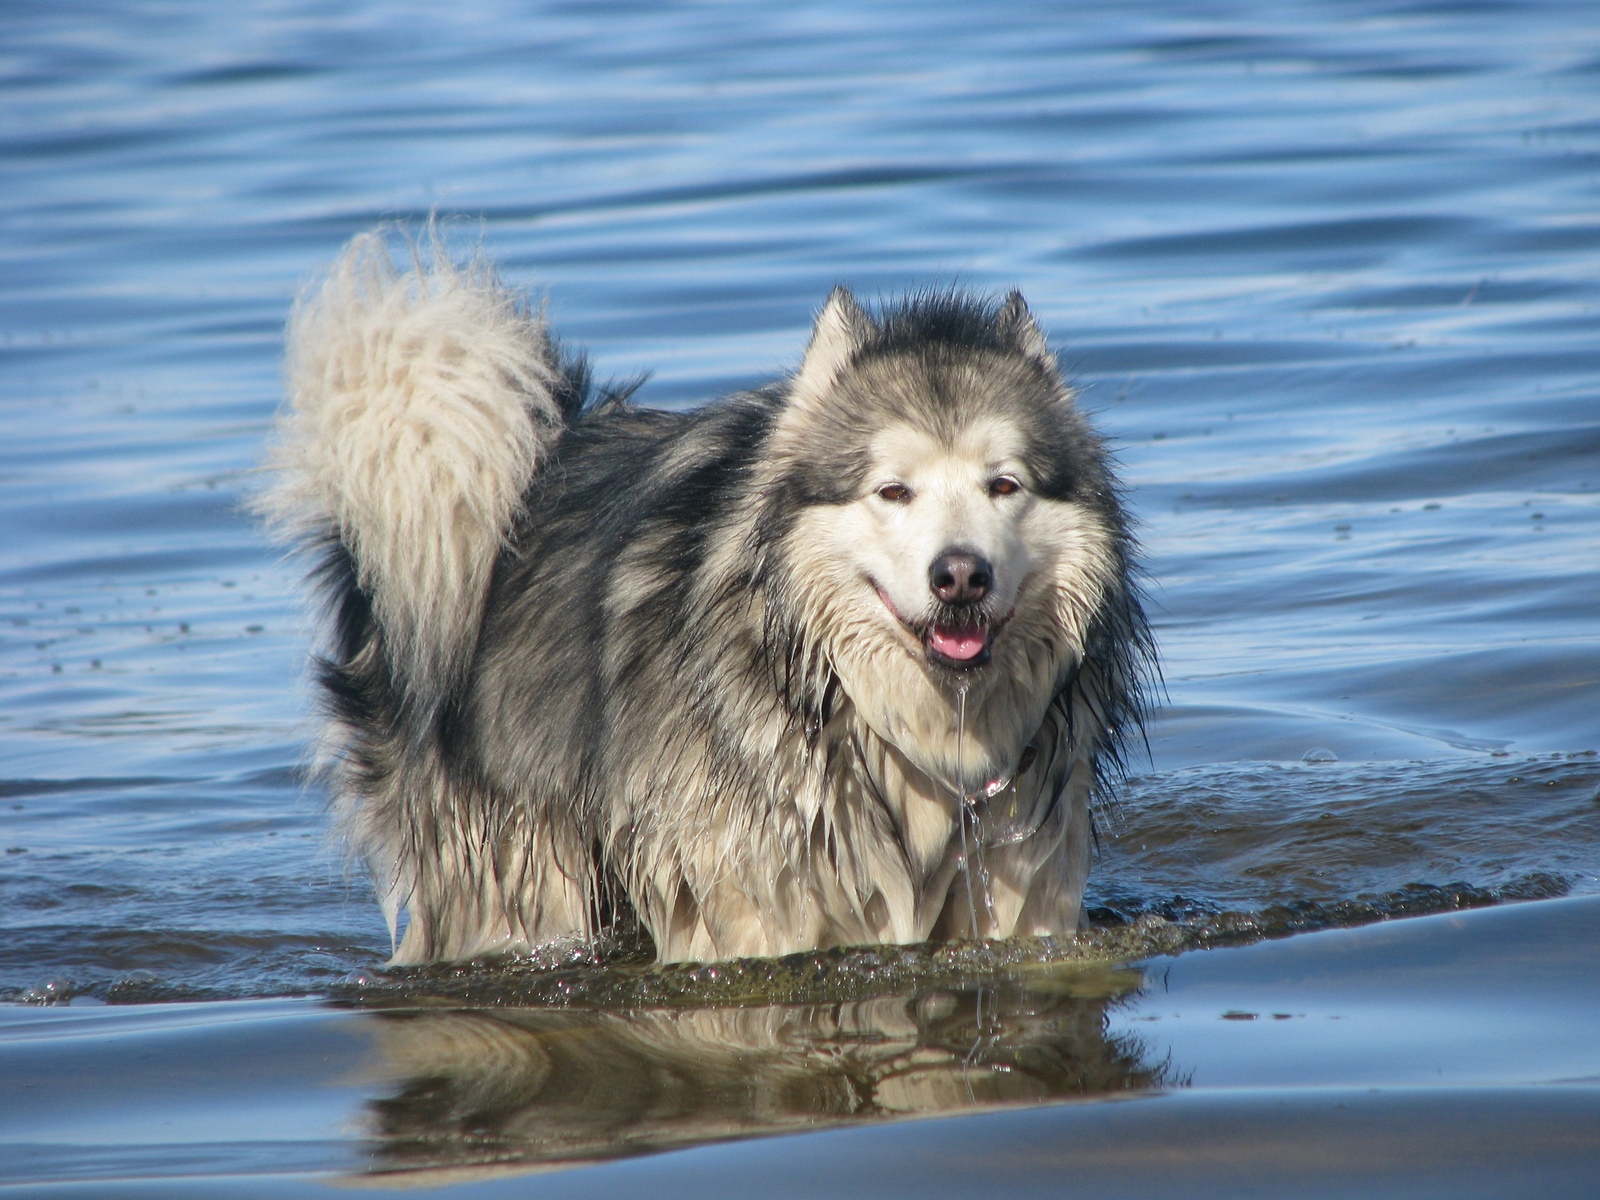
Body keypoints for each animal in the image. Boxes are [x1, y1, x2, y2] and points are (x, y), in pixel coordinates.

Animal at [268, 232, 1158, 966]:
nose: (961, 575)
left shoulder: (1019, 889)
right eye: (892, 491)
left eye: (1003, 485)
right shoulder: (751, 908)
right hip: (520, 880)